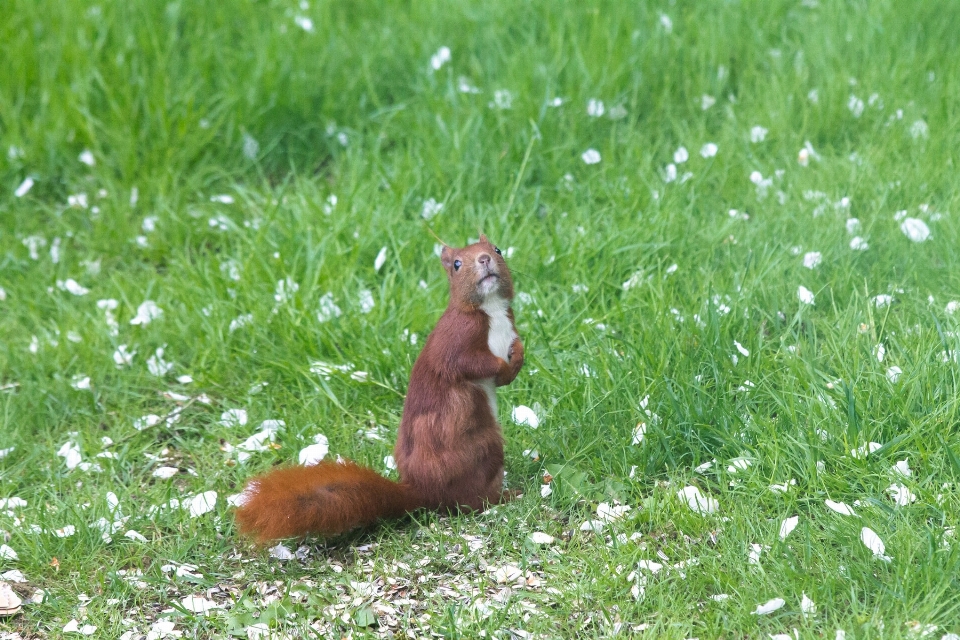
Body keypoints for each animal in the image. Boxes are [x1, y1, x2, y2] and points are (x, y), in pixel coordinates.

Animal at [237, 232, 528, 544]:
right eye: (457, 264)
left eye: (497, 249)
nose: (484, 259)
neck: (491, 310)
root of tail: (425, 492)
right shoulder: (457, 342)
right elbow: (473, 365)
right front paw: (502, 365)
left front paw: (519, 354)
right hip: (484, 447)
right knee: (472, 501)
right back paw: (505, 496)